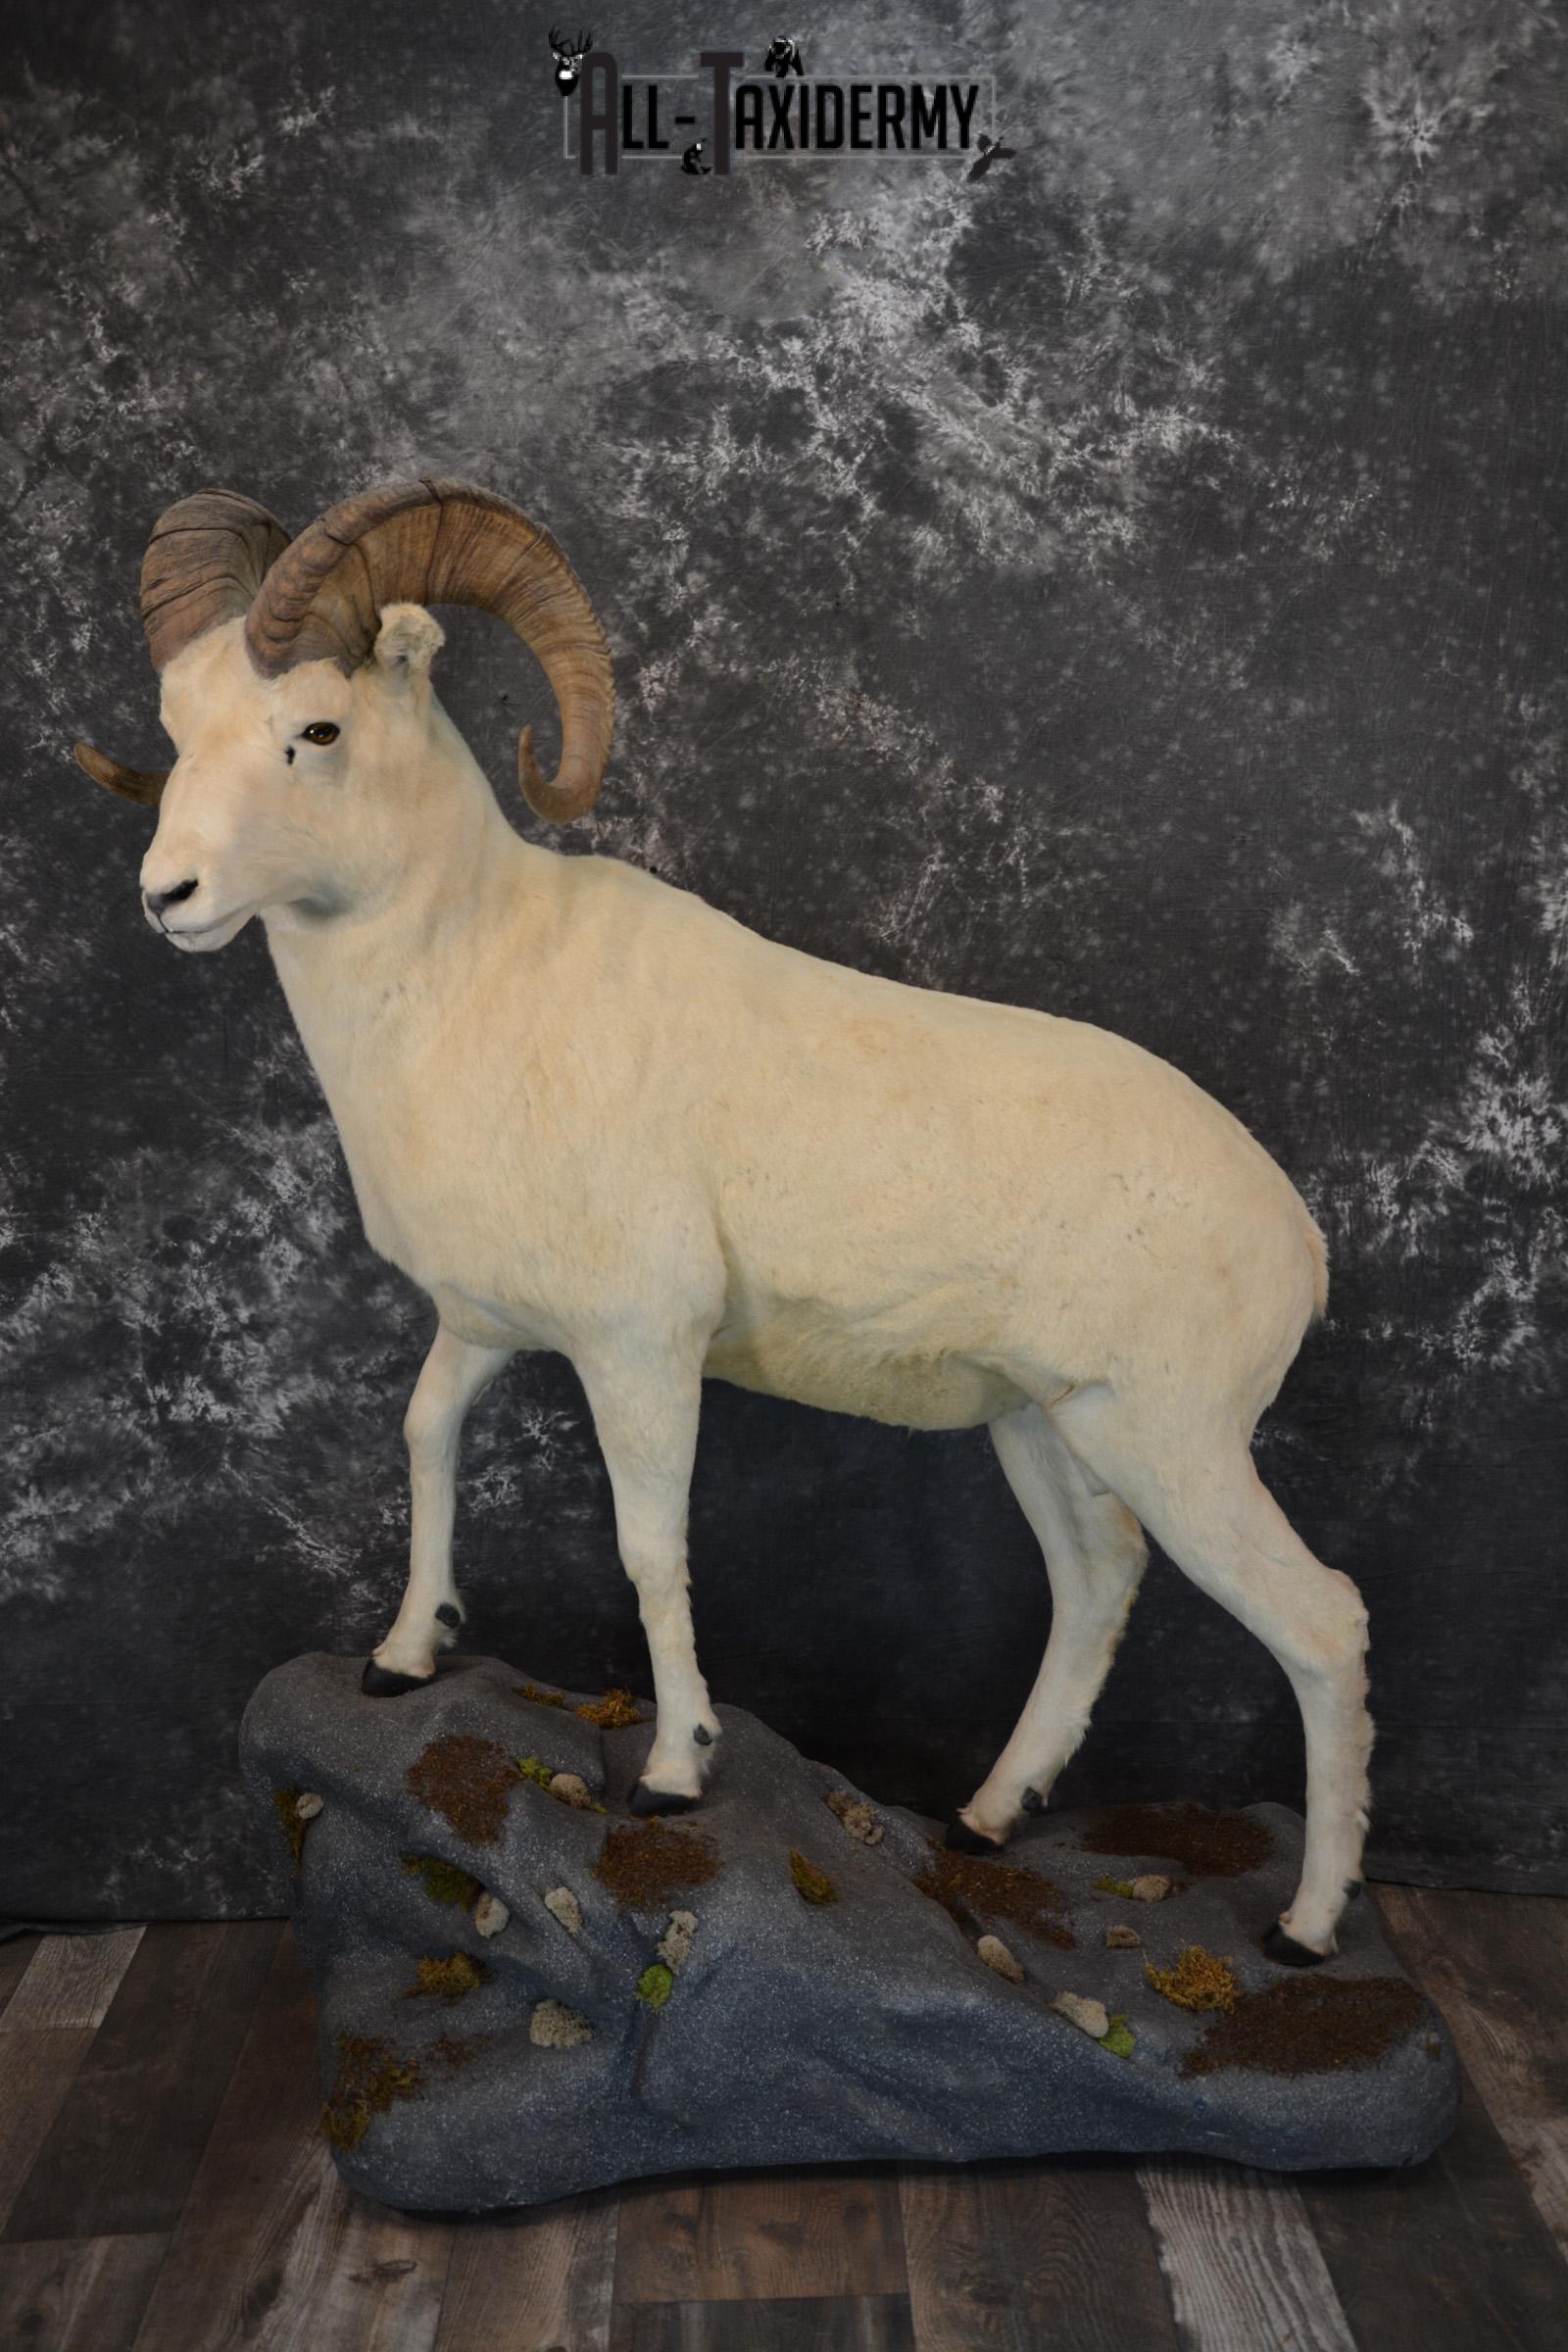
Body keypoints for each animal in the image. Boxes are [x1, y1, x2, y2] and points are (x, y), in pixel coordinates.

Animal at [75, 476, 1372, 1964]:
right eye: (180, 730)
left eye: (318, 731)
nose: (169, 897)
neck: (462, 990)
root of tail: (1296, 1240)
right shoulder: (488, 1329)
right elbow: (424, 1440)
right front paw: (405, 1658)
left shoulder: (641, 1350)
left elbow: (651, 1547)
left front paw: (673, 1776)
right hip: (1049, 1431)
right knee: (1097, 1584)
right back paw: (989, 1821)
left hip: (1178, 1444)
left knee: (1322, 1627)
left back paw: (1305, 1931)